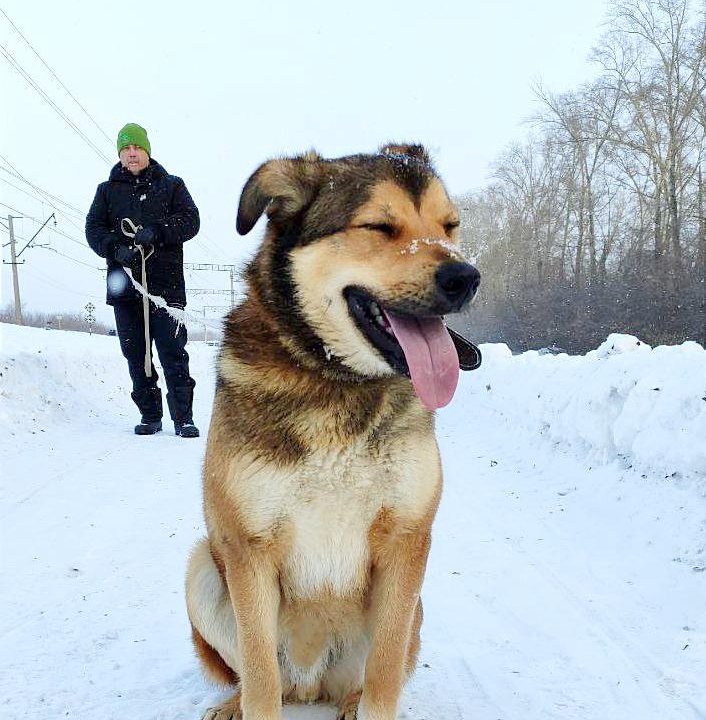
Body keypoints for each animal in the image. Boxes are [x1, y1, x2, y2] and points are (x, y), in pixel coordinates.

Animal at [183, 143, 478, 716]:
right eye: (380, 226)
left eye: (449, 225)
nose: (466, 278)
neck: (336, 380)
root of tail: (312, 682)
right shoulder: (248, 549)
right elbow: (259, 679)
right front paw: (248, 703)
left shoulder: (407, 541)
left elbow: (385, 674)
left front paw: (373, 707)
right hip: (204, 568)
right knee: (259, 677)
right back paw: (233, 702)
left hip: (413, 613)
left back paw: (350, 702)